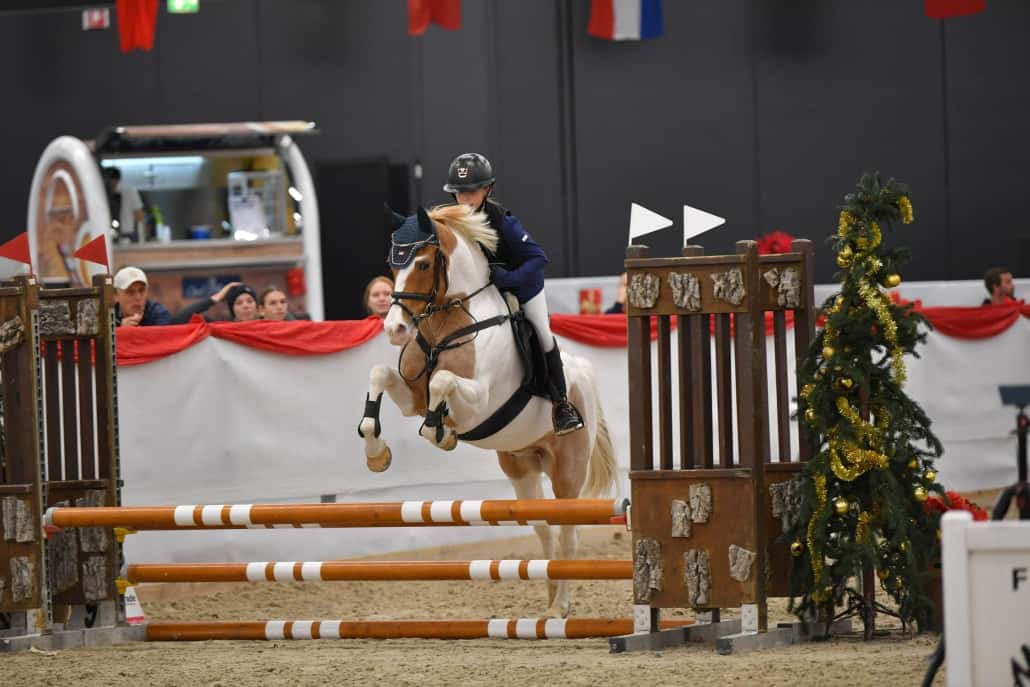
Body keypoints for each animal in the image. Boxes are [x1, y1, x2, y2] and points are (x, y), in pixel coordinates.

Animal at [357, 204, 617, 618]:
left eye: (424, 264)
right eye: (392, 263)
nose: (395, 329)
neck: (446, 322)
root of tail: (584, 373)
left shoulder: (478, 402)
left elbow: (441, 383)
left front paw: (441, 434)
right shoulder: (412, 396)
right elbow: (381, 374)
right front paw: (377, 453)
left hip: (568, 471)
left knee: (567, 533)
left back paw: (559, 607)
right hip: (521, 467)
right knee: (544, 529)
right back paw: (549, 597)